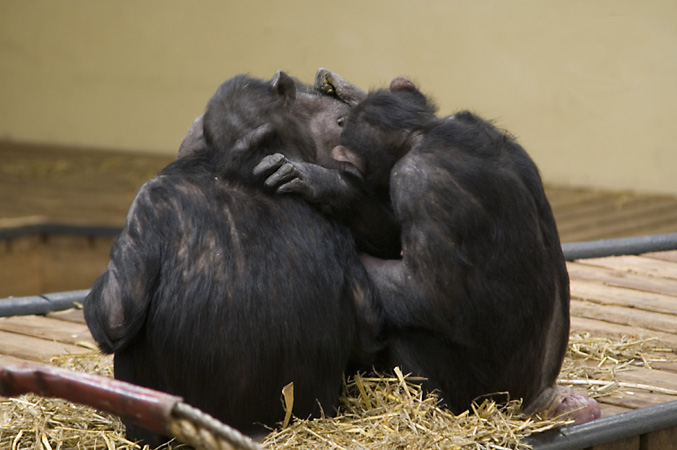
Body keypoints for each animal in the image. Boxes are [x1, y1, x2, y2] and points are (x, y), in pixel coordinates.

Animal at [80, 72, 380, 444]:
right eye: (340, 122)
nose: (348, 150)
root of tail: (254, 431)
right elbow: (370, 327)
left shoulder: (148, 201)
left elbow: (114, 317)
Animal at [260, 79, 604, 424]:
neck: (425, 134)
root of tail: (539, 398)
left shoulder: (414, 181)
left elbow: (426, 291)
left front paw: (322, 182)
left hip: (481, 394)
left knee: (408, 332)